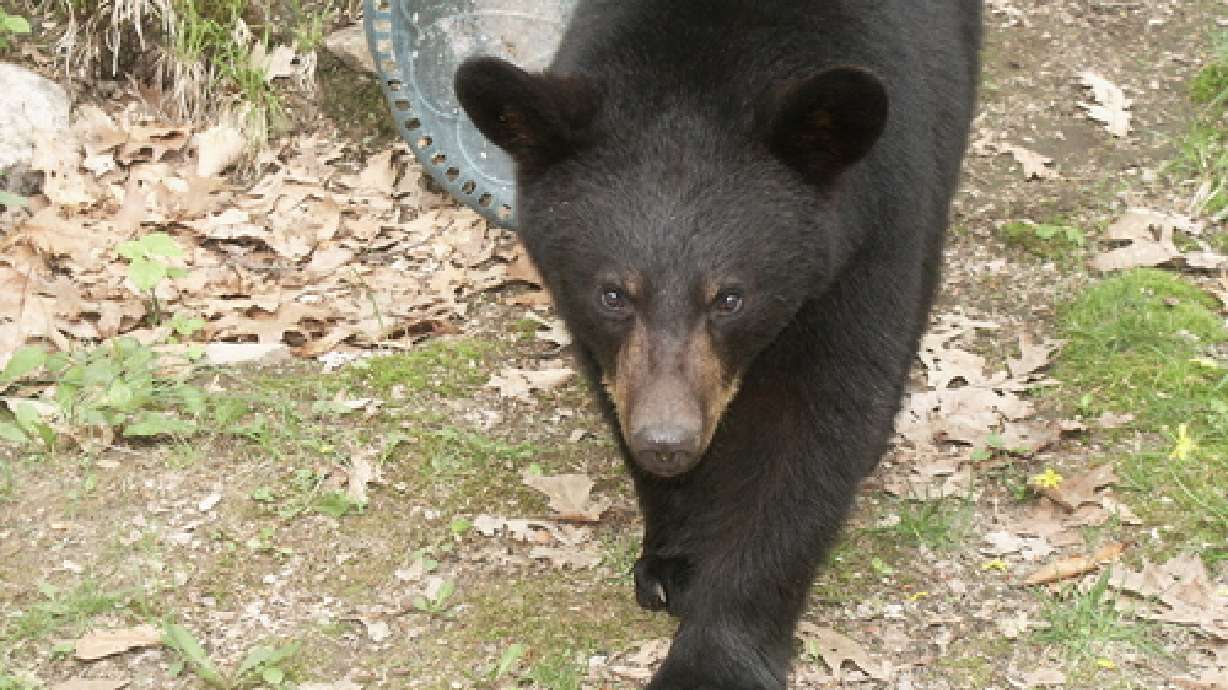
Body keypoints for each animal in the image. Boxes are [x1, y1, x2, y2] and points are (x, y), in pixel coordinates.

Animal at [454, 2, 981, 688]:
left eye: (729, 298)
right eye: (614, 294)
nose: (667, 442)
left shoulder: (870, 233)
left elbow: (812, 428)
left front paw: (712, 657)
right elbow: (617, 389)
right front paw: (671, 557)